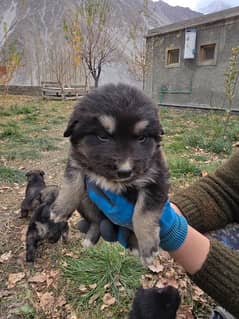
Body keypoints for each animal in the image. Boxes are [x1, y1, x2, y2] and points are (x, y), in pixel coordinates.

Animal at [51, 82, 169, 264]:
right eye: (102, 136)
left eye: (141, 138)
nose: (125, 171)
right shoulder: (76, 162)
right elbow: (71, 185)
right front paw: (60, 209)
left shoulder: (156, 179)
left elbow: (143, 214)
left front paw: (147, 247)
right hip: (86, 201)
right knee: (95, 221)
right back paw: (90, 239)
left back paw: (135, 245)